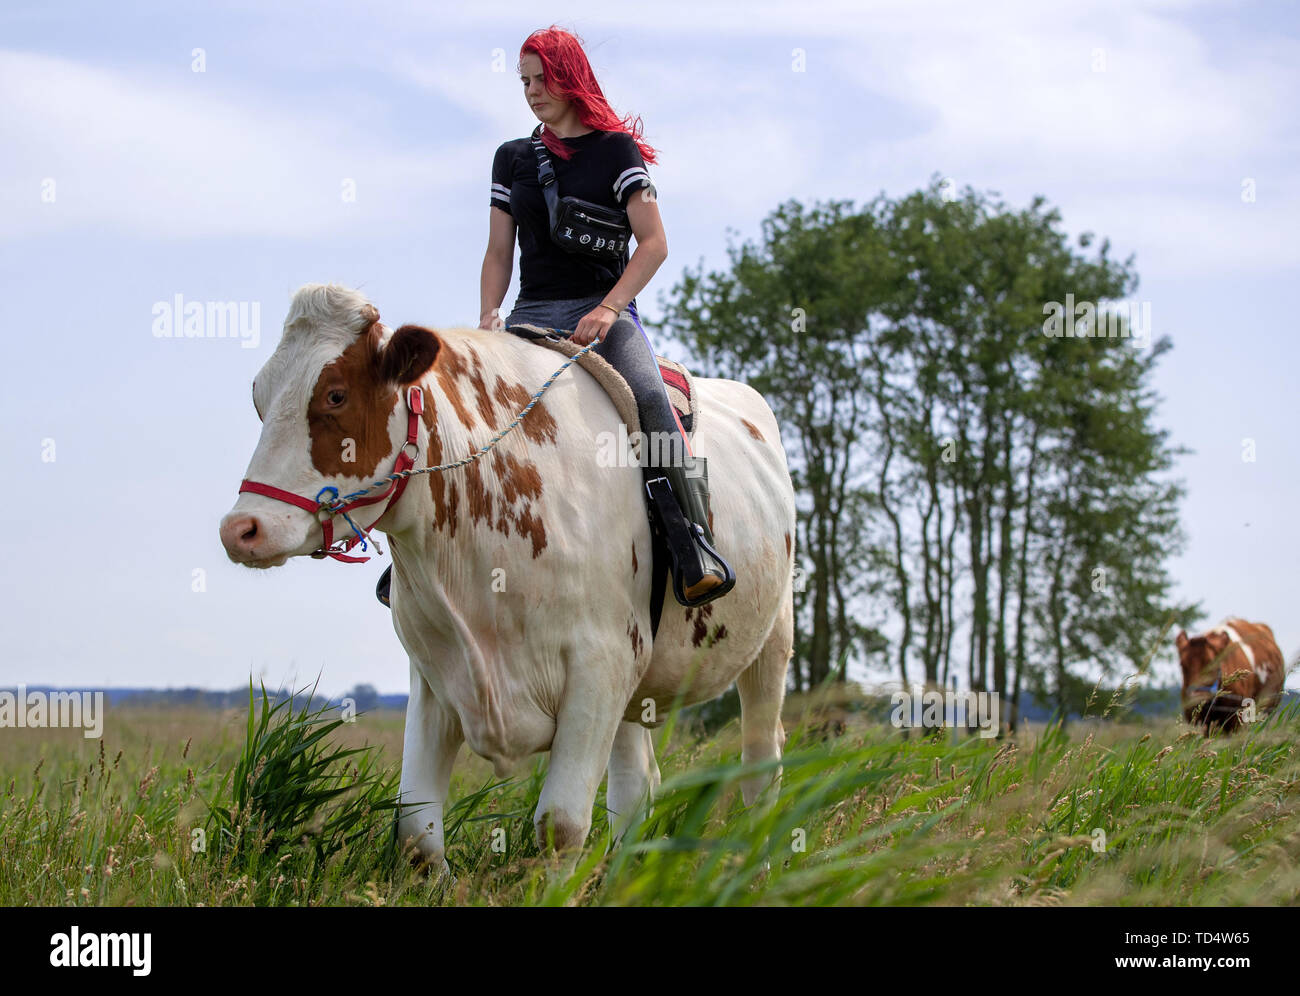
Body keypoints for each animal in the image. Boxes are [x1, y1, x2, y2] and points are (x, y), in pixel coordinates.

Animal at [218, 284, 795, 868]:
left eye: (336, 395)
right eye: (259, 398)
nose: (241, 529)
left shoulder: (601, 662)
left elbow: (560, 826)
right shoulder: (434, 675)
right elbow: (417, 835)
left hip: (771, 643)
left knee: (760, 763)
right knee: (637, 786)